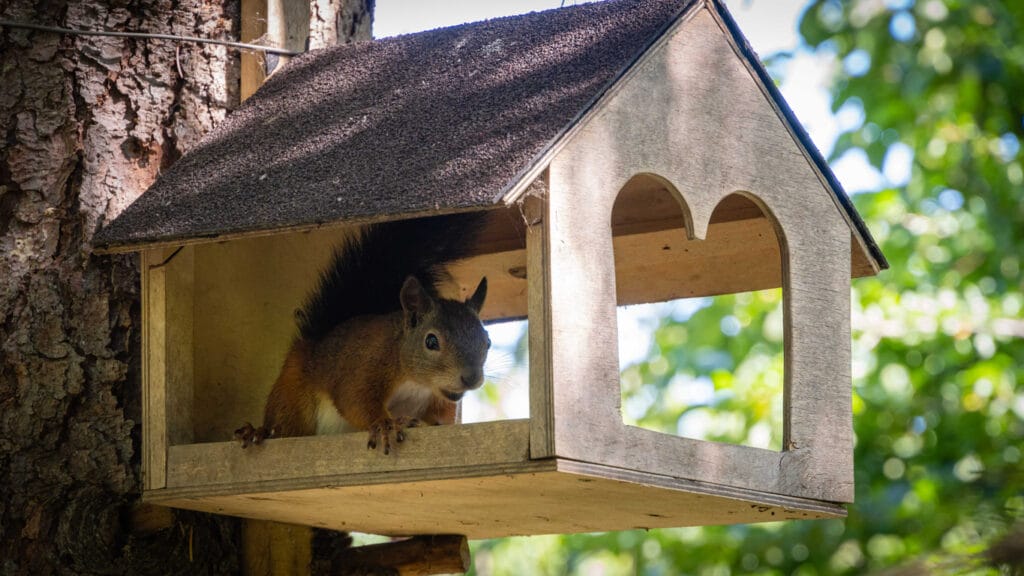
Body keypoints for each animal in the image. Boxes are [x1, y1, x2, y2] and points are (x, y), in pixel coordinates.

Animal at [234, 211, 489, 453]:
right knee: (284, 425)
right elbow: (354, 400)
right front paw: (385, 425)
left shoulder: (439, 400)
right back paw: (257, 432)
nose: (471, 377)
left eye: (487, 342)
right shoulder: (366, 364)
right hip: (292, 397)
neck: (417, 383)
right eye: (431, 341)